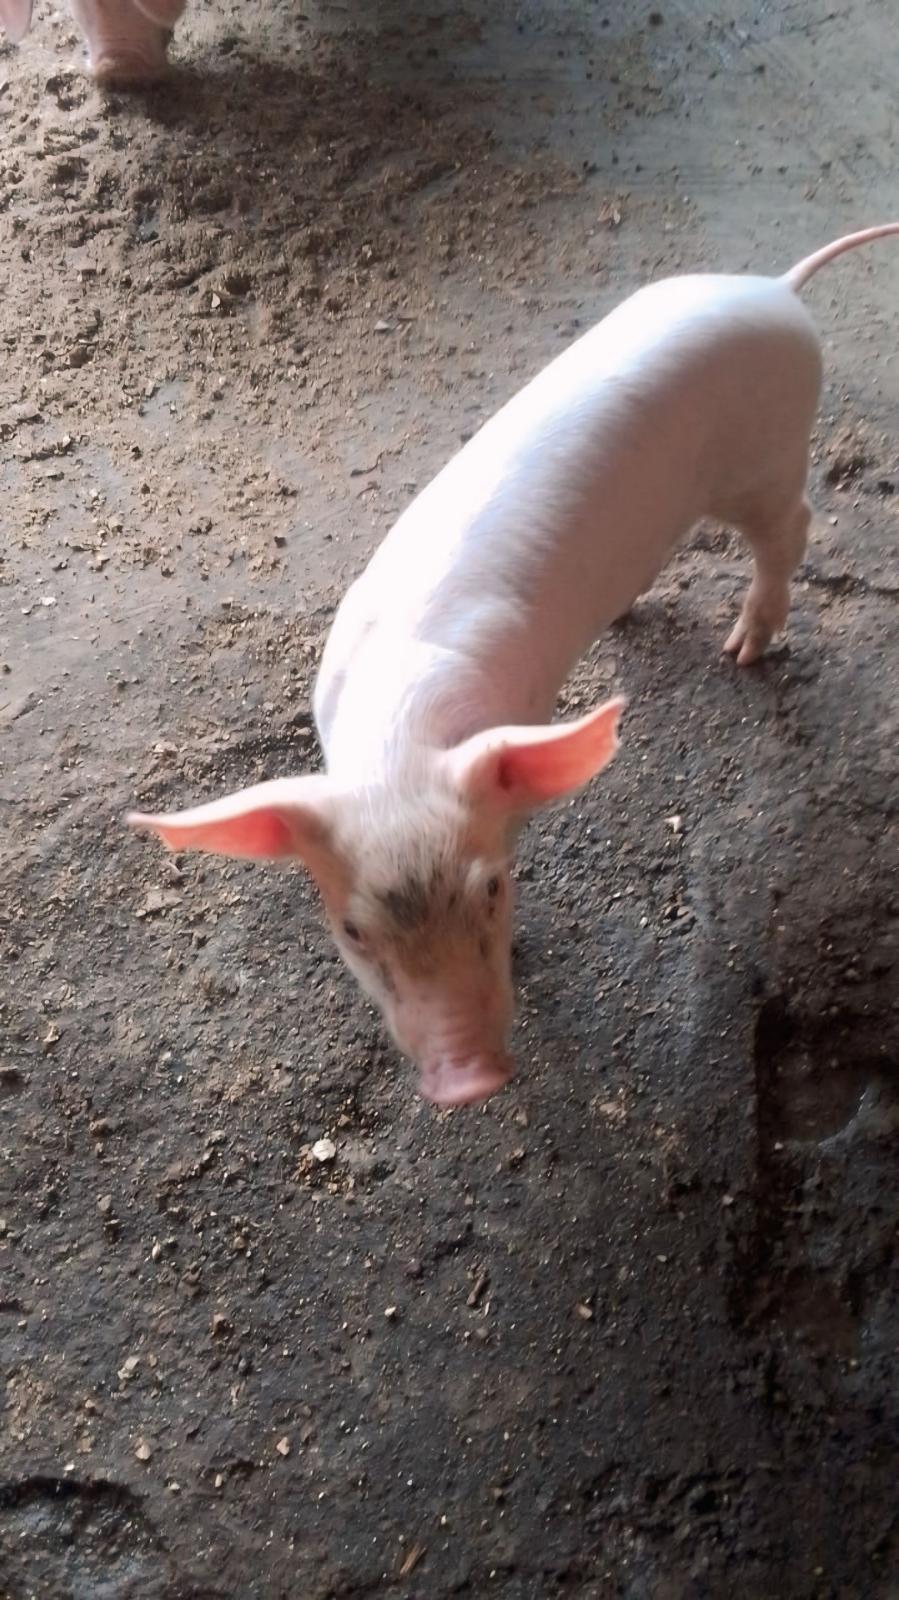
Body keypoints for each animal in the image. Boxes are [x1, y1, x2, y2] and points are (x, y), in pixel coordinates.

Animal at [128, 223, 899, 1108]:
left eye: (492, 890)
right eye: (351, 929)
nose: (466, 1081)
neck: (396, 738)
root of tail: (775, 289)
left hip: (768, 456)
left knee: (789, 528)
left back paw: (742, 650)